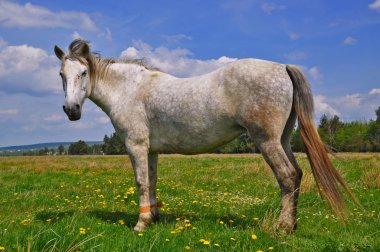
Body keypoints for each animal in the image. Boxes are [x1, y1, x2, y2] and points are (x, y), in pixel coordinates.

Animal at [55, 39, 358, 234]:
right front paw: (153, 216)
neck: (130, 89)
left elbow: (140, 182)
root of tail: (282, 67)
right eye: (61, 74)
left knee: (288, 176)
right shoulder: (151, 150)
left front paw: (140, 224)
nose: (71, 110)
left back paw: (282, 228)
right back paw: (292, 225)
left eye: (84, 72)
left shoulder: (136, 146)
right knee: (297, 174)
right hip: (282, 140)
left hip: (267, 141)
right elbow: (152, 181)